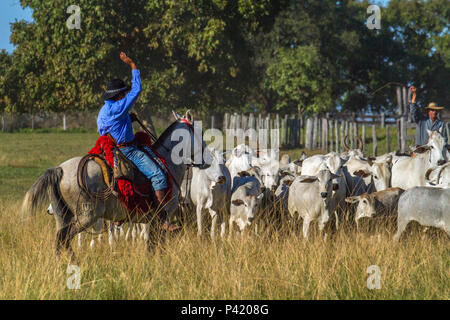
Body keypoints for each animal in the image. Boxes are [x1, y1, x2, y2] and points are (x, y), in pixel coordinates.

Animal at [19, 111, 211, 258]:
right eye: (200, 133)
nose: (208, 159)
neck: (167, 161)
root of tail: (59, 169)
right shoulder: (163, 218)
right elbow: (157, 247)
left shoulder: (152, 221)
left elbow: (150, 247)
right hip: (86, 216)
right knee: (64, 238)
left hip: (62, 215)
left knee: (60, 239)